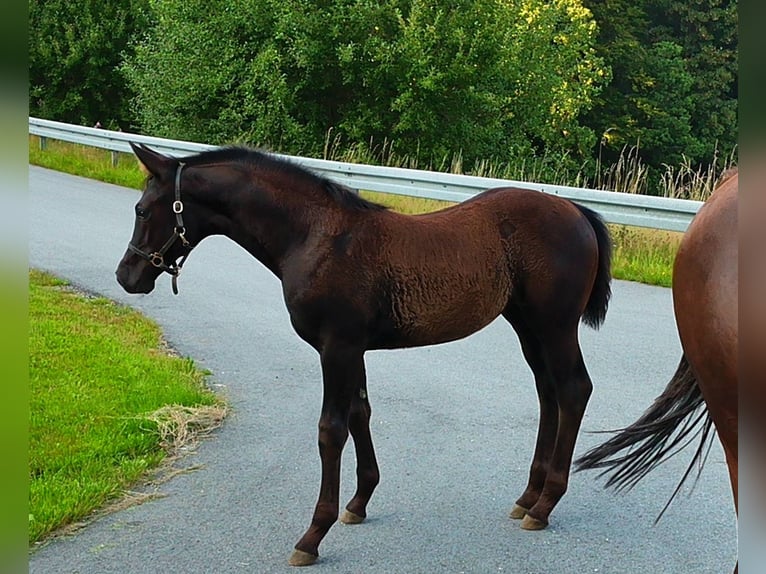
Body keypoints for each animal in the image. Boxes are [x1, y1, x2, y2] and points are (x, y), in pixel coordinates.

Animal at [116, 143, 612, 566]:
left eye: (142, 209)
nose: (127, 276)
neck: (314, 237)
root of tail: (577, 211)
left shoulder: (337, 348)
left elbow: (330, 430)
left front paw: (313, 535)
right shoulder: (352, 350)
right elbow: (360, 413)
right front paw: (358, 503)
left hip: (555, 326)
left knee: (574, 390)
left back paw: (545, 505)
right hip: (527, 327)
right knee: (548, 394)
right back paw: (528, 497)